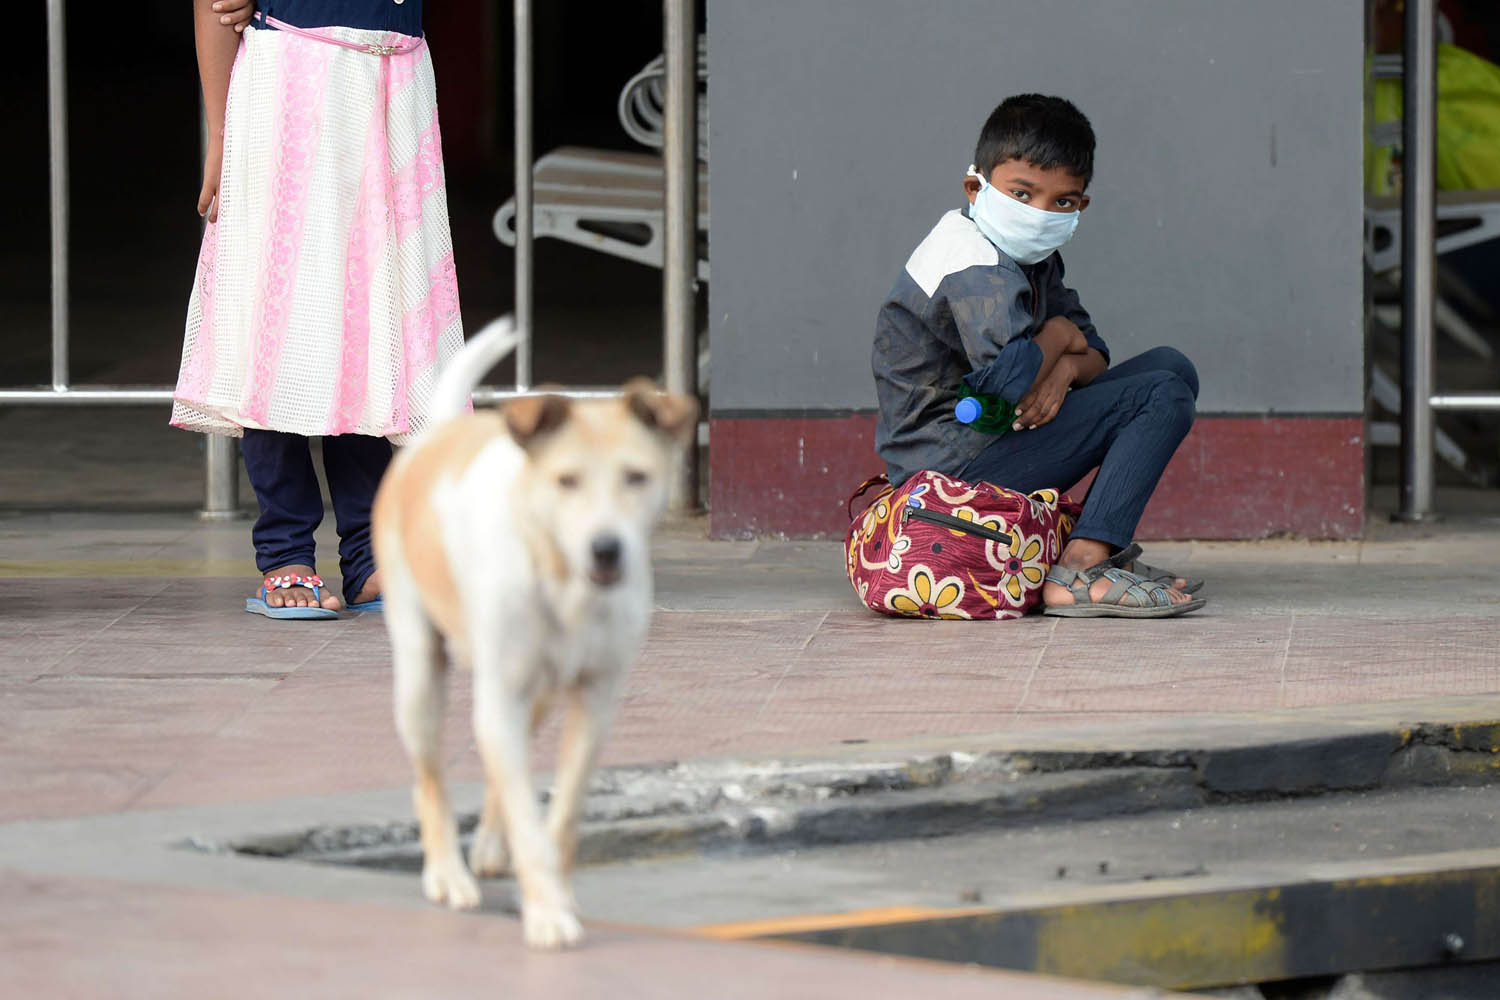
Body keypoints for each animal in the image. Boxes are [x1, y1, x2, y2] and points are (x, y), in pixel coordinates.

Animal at [375, 319, 702, 947]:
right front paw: (548, 912)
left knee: (499, 770)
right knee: (430, 778)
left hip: (539, 695)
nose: (606, 549)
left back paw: (487, 847)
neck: (561, 579)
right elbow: (529, 819)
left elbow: (562, 811)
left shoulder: (596, 700)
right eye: (566, 481)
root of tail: (440, 433)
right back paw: (447, 873)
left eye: (636, 477)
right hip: (420, 674)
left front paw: (554, 890)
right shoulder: (502, 694)